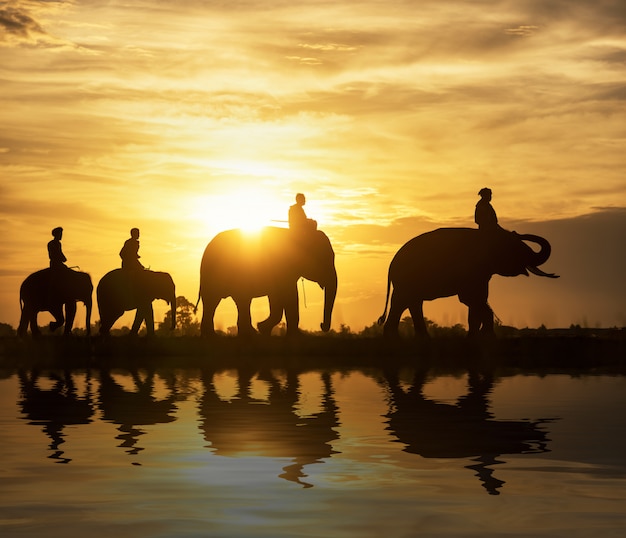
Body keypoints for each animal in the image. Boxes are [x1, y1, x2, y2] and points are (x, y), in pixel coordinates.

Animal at [199, 226, 336, 336]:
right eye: (324, 258)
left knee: (222, 302)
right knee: (220, 300)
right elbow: (289, 296)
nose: (321, 325)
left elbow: (280, 298)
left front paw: (264, 329)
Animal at [378, 227, 560, 338]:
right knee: (403, 303)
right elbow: (472, 299)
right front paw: (486, 337)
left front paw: (477, 337)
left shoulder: (480, 275)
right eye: (515, 247)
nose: (517, 232)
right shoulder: (470, 271)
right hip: (406, 281)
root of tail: (391, 265)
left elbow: (476, 301)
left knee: (412, 303)